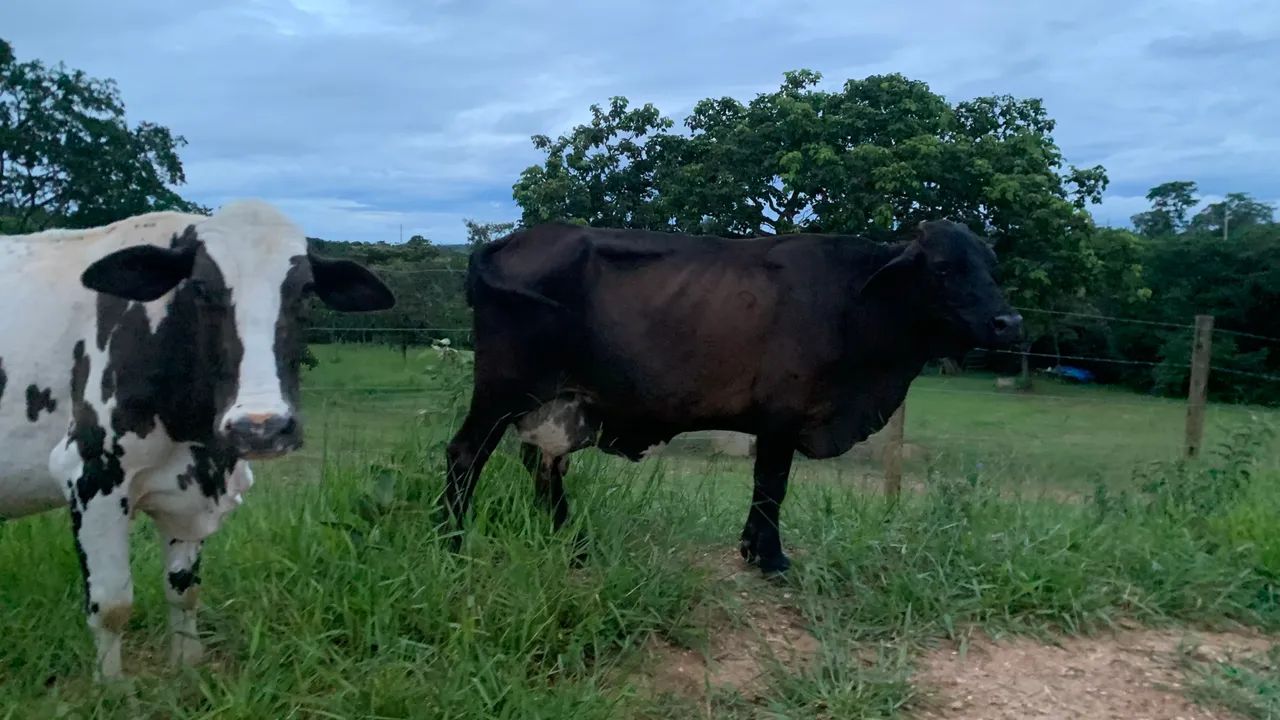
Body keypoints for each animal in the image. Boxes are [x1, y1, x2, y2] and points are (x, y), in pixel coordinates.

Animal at [0, 200, 394, 680]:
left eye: (304, 291)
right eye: (202, 287)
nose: (260, 426)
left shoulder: (191, 487)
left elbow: (183, 590)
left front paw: (187, 666)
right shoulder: (90, 472)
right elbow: (112, 605)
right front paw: (112, 687)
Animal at [441, 219, 1022, 573]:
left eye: (991, 266)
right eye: (944, 268)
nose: (1009, 322)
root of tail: (514, 240)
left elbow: (766, 487)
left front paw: (755, 551)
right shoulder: (782, 415)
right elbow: (771, 486)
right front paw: (770, 559)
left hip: (554, 402)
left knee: (544, 466)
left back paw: (575, 542)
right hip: (503, 389)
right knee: (466, 455)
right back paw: (452, 542)